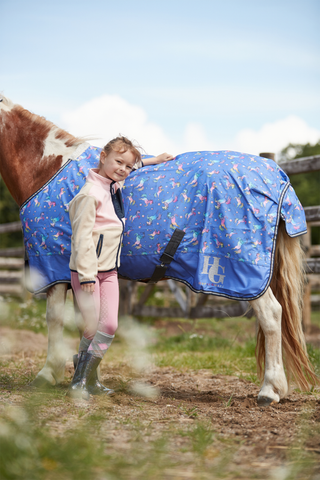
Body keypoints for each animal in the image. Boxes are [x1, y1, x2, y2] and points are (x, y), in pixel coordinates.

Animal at [0, 95, 318, 404]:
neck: (48, 170)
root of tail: (276, 177)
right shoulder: (79, 274)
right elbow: (86, 324)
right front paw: (89, 380)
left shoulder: (53, 268)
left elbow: (54, 319)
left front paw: (47, 375)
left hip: (247, 275)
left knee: (272, 316)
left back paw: (270, 390)